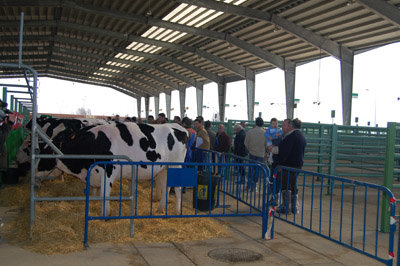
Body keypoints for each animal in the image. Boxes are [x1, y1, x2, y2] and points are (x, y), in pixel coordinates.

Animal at [36, 121, 189, 215]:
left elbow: (105, 193)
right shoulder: (95, 173)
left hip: (176, 165)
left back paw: (177, 212)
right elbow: (96, 191)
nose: (34, 173)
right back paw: (160, 209)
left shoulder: (109, 170)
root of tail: (180, 128)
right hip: (163, 169)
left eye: (44, 154)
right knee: (166, 186)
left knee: (177, 187)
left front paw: (105, 214)